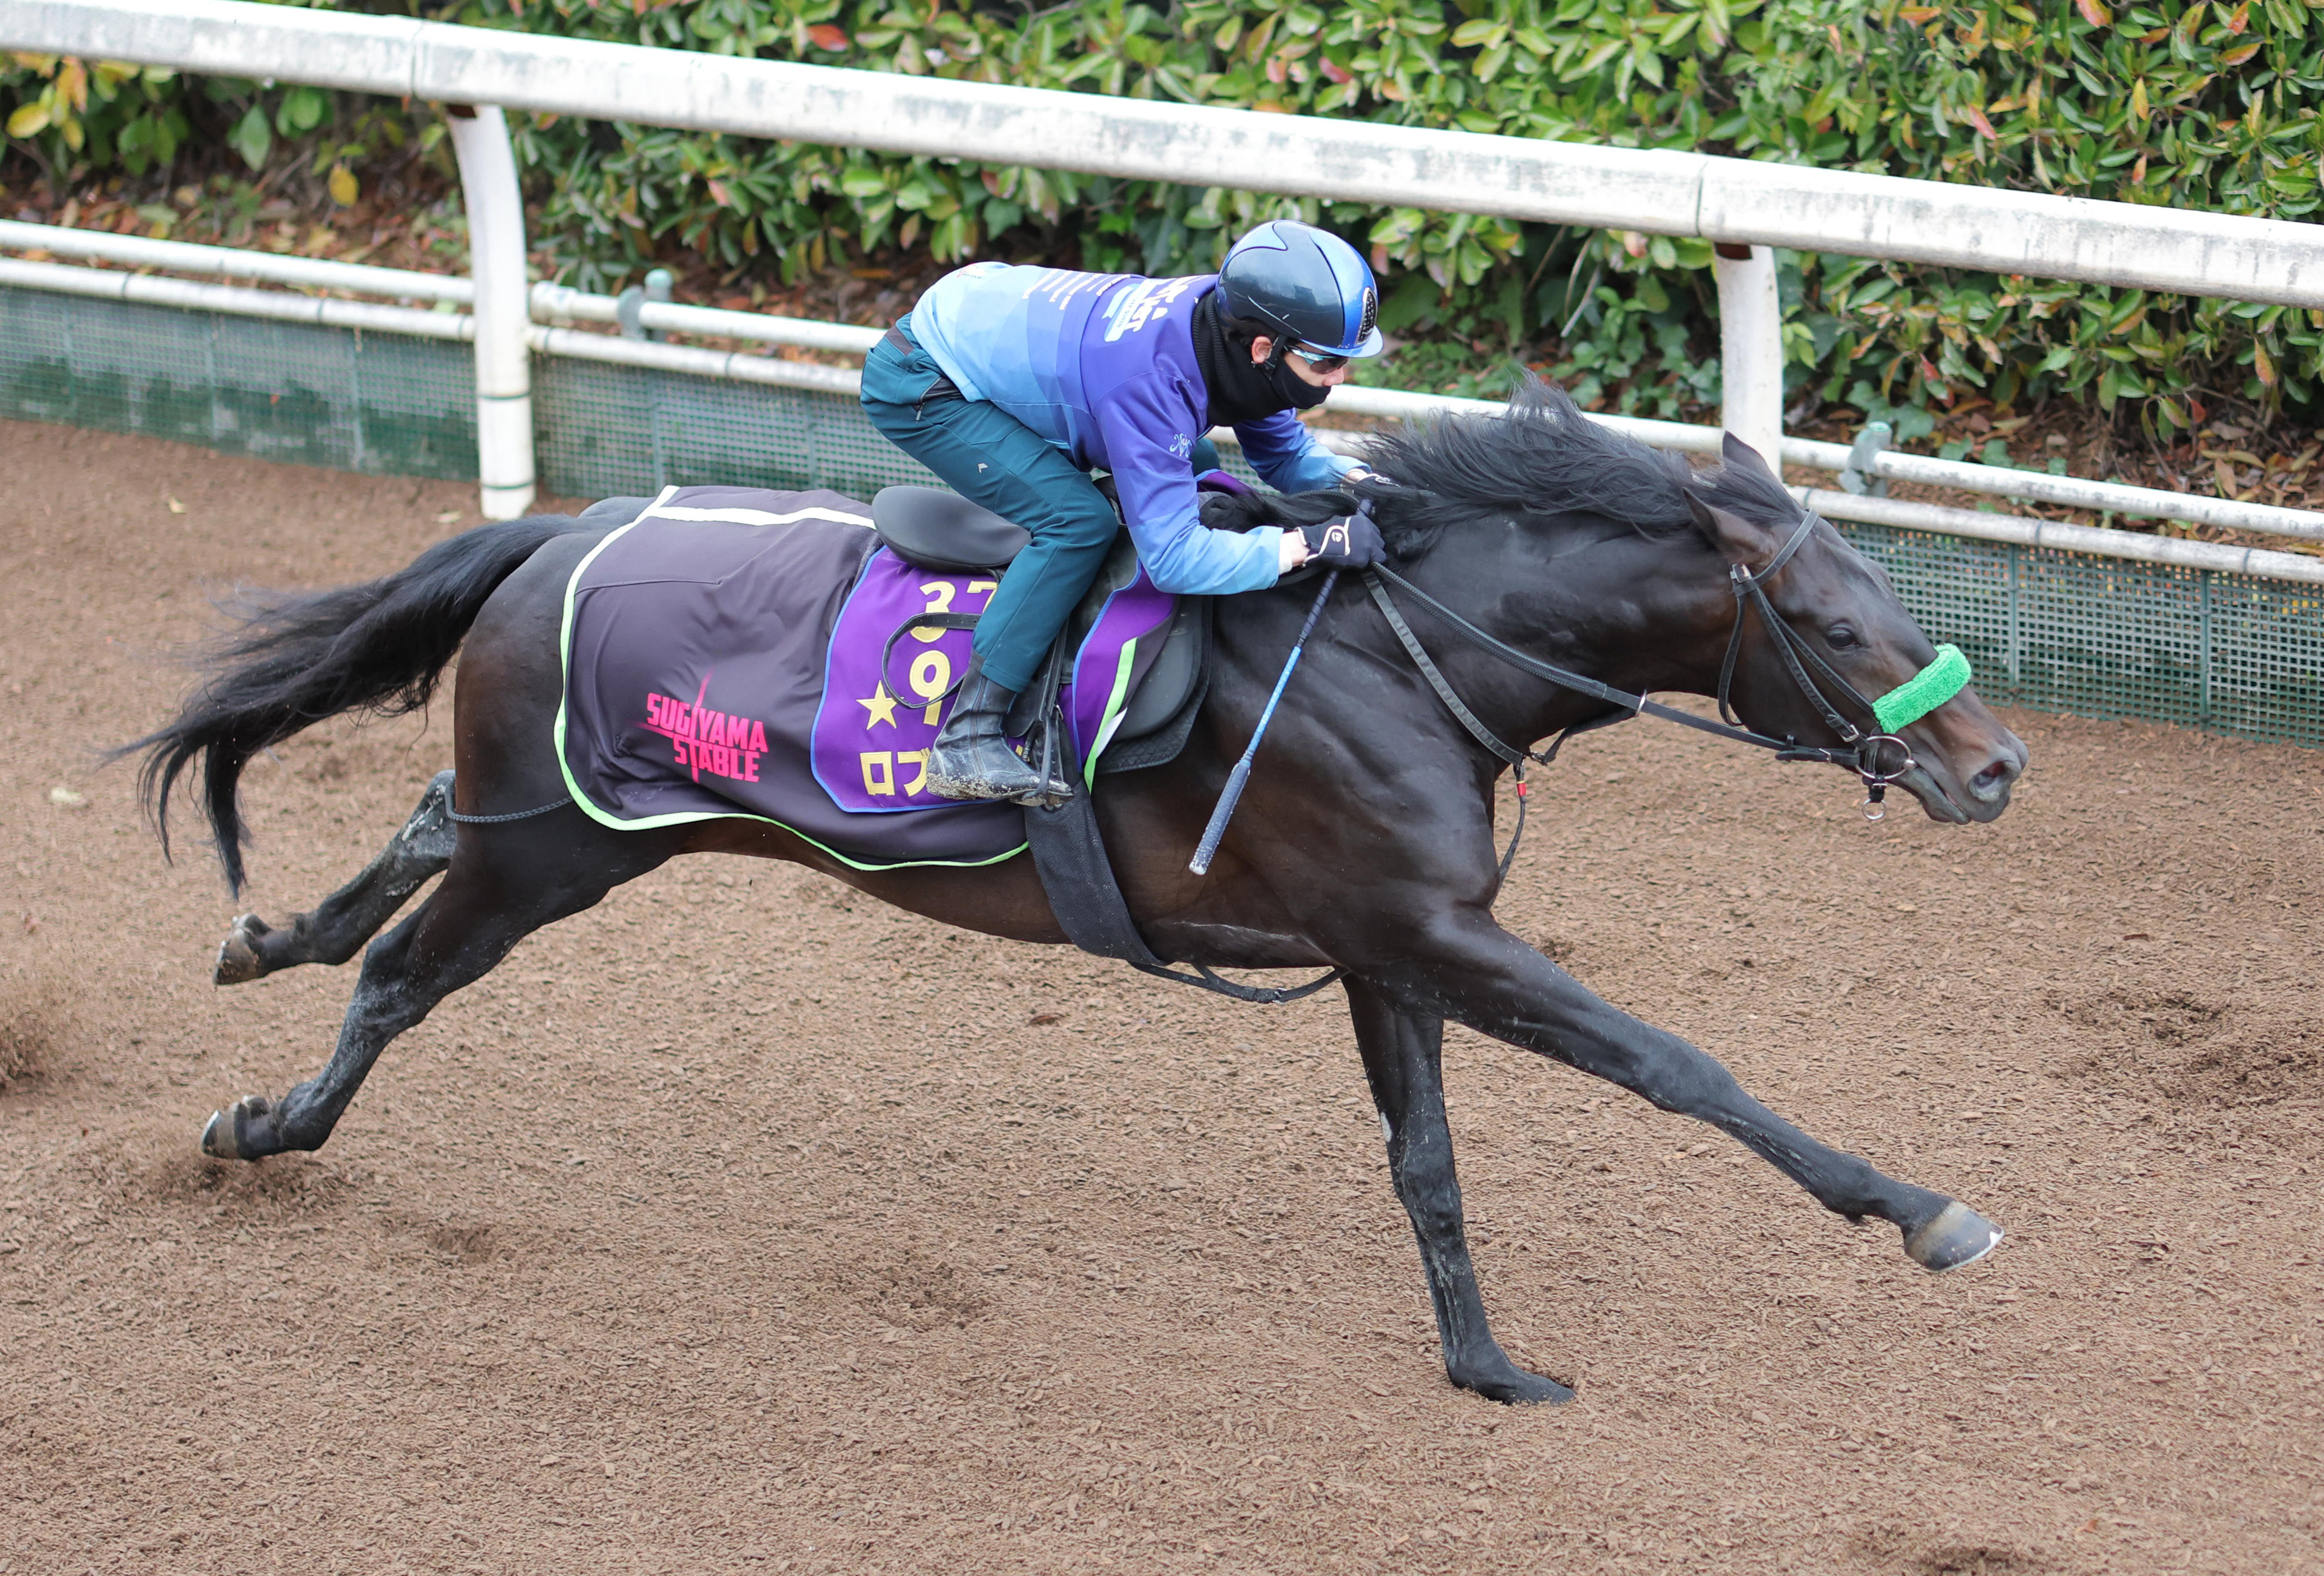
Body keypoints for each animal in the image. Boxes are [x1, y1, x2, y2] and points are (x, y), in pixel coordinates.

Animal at [123, 384, 2027, 1405]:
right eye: (1837, 623)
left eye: (1893, 593)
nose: (1997, 764)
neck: (1399, 647)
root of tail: (558, 528)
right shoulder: (1432, 932)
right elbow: (1674, 1063)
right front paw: (1919, 1207)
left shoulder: (1387, 945)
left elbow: (1425, 1162)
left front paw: (1486, 1364)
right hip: (564, 847)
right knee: (404, 975)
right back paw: (267, 1120)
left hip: (578, 821)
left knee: (427, 820)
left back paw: (264, 936)